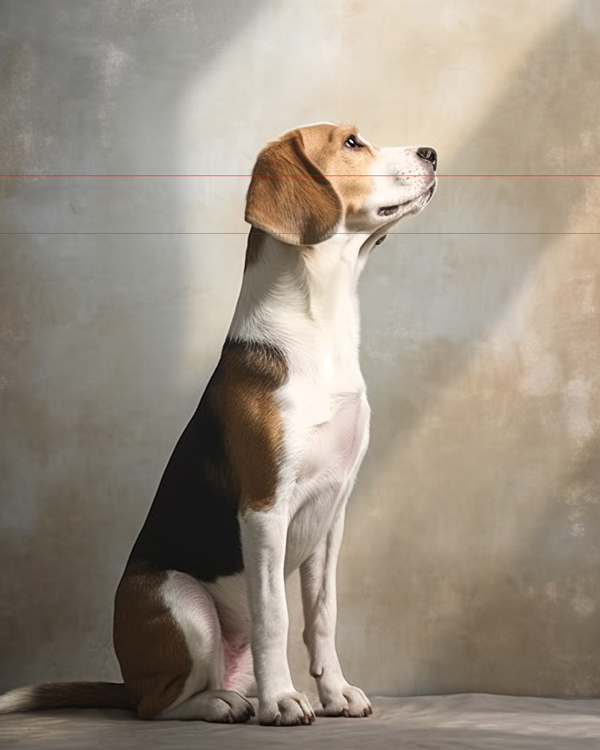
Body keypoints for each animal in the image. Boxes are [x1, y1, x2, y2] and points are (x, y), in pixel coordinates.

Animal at [0, 123, 436, 728]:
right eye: (351, 142)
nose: (432, 152)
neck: (319, 325)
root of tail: (128, 681)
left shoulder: (333, 514)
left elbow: (321, 616)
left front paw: (334, 693)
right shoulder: (263, 509)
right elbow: (275, 616)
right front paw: (283, 702)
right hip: (179, 599)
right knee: (160, 705)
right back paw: (227, 702)